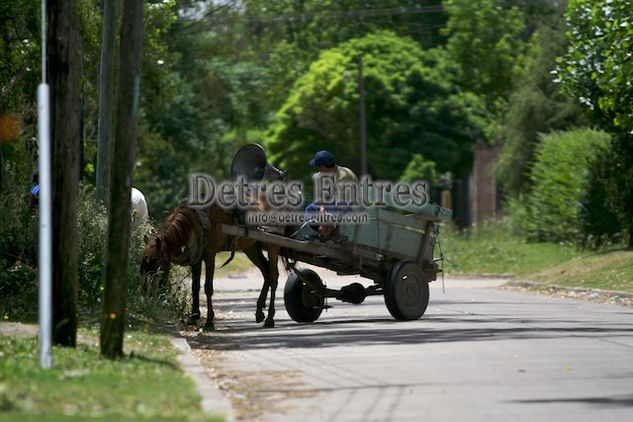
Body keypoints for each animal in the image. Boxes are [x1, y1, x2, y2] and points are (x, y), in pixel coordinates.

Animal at [144, 202, 282, 330]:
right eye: (142, 262)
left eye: (155, 262)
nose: (145, 293)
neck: (196, 220)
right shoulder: (197, 257)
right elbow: (195, 287)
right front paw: (194, 317)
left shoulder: (210, 254)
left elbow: (208, 288)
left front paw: (209, 322)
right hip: (251, 247)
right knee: (266, 272)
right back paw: (259, 312)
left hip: (273, 244)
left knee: (273, 277)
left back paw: (270, 318)